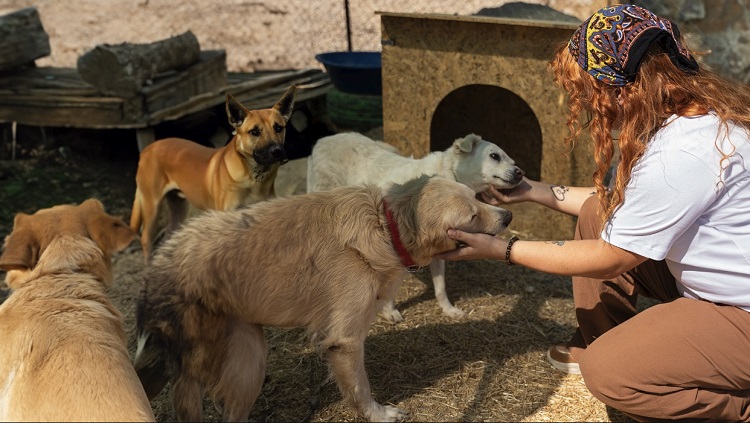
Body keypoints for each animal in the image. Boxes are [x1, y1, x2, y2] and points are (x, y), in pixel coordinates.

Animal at [130, 84, 297, 262]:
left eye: (278, 128)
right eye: (254, 132)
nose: (277, 151)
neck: (253, 177)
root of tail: (148, 149)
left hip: (178, 207)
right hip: (152, 207)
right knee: (146, 239)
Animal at [133, 175, 513, 422]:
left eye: (478, 198)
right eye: (472, 216)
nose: (508, 215)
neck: (384, 225)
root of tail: (155, 273)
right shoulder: (344, 341)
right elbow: (360, 388)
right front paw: (378, 414)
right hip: (239, 362)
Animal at [307, 132, 524, 321]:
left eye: (513, 161)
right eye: (494, 156)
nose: (520, 173)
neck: (448, 174)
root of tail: (322, 140)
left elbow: (440, 287)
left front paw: (448, 310)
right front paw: (390, 312)